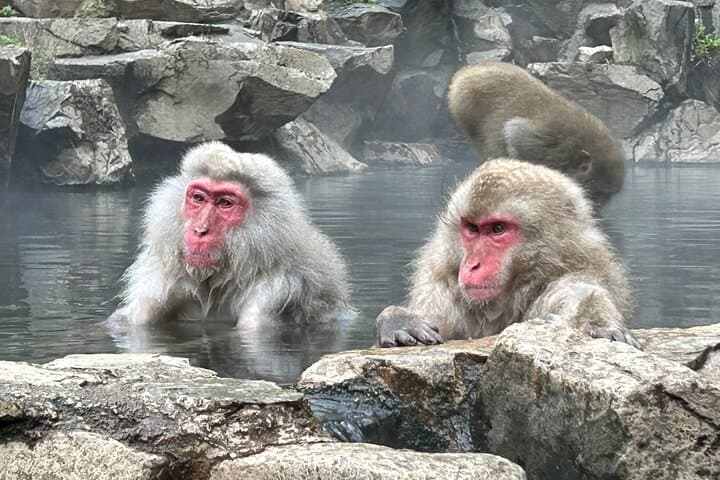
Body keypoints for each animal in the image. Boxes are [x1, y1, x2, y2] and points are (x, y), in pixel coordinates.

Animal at [376, 158, 641, 349]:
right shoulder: (440, 287)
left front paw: (595, 322)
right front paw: (398, 320)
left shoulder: (577, 272)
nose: (472, 265)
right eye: (472, 229)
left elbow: (582, 295)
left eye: (498, 229)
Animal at [447, 62, 626, 206]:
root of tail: (465, 72)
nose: (599, 207)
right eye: (598, 194)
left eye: (606, 196)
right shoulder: (544, 146)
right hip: (465, 105)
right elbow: (514, 132)